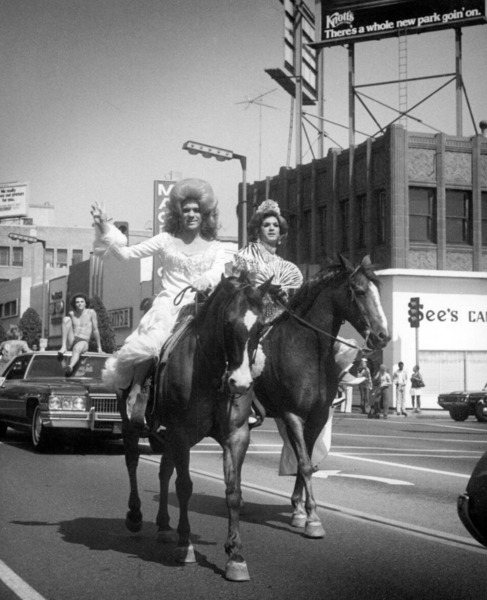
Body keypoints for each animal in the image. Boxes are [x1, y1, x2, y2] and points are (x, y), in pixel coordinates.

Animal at [118, 272, 270, 580]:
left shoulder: (236, 437)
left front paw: (235, 555)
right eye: (228, 322)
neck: (212, 371)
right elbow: (184, 486)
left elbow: (233, 493)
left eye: (260, 326)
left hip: (167, 437)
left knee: (163, 472)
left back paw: (164, 526)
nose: (240, 383)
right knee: (132, 461)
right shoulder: (181, 433)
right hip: (134, 426)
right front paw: (185, 544)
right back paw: (135, 515)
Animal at [250, 253, 390, 540]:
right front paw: (313, 519)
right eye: (359, 291)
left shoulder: (316, 416)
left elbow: (304, 459)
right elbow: (304, 463)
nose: (383, 336)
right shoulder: (292, 414)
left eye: (378, 291)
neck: (306, 349)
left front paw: (299, 511)